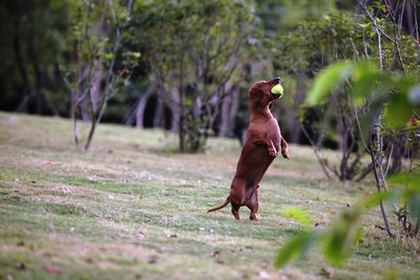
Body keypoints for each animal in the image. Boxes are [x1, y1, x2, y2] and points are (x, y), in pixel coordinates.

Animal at [208, 77, 288, 221]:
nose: (278, 78)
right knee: (234, 209)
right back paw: (238, 218)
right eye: (263, 83)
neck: (264, 116)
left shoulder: (279, 137)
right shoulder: (256, 139)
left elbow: (283, 141)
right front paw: (272, 150)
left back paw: (255, 219)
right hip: (238, 195)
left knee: (252, 213)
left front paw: (285, 151)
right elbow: (267, 140)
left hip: (255, 200)